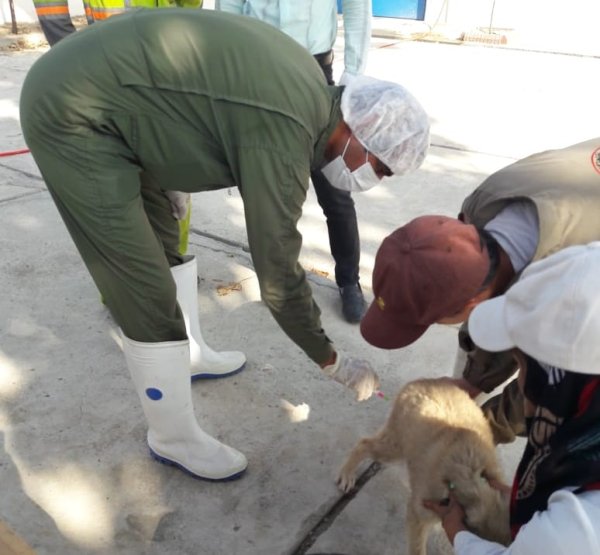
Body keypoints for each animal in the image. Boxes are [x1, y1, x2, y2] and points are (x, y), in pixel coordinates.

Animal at [338, 378, 510, 555]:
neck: (475, 479)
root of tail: (423, 381)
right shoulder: (418, 515)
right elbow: (418, 548)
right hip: (395, 447)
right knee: (364, 444)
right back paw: (347, 474)